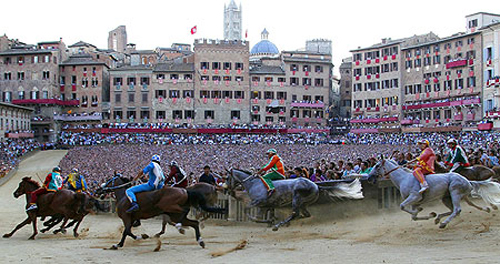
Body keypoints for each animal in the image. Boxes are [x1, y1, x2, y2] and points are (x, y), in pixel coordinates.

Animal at [96, 175, 225, 250]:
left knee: (186, 215)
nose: (98, 190)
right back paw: (200, 240)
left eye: (108, 181)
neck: (124, 196)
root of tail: (185, 191)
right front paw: (142, 236)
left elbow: (126, 231)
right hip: (175, 214)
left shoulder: (126, 217)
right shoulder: (132, 219)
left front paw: (118, 244)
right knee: (194, 223)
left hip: (169, 207)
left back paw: (180, 227)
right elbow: (128, 231)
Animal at [228, 169, 364, 231]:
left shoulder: (259, 202)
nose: (228, 189)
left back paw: (278, 225)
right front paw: (270, 220)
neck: (253, 183)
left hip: (296, 199)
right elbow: (258, 217)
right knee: (303, 215)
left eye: (228, 177)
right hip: (304, 203)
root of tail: (316, 185)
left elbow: (247, 211)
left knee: (295, 214)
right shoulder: (264, 206)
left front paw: (272, 221)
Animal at [366, 158, 500, 228]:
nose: (369, 178)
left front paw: (422, 211)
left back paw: (443, 223)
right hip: (447, 197)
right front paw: (430, 214)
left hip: (454, 192)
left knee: (457, 209)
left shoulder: (415, 196)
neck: (403, 178)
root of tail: (467, 180)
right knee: (457, 208)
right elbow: (414, 217)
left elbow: (402, 206)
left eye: (377, 166)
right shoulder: (415, 201)